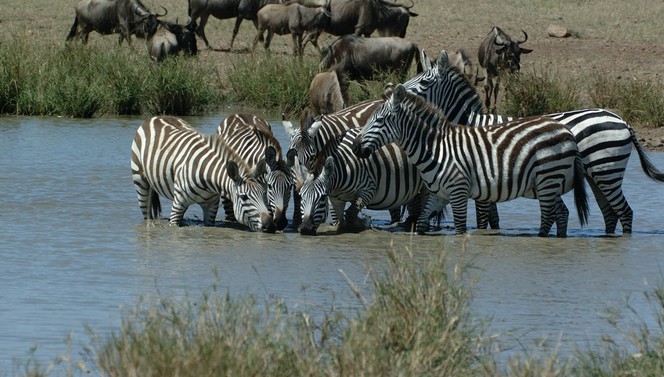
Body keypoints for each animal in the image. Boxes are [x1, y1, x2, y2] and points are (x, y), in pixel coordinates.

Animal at [131, 115, 276, 232]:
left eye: (263, 193)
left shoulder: (211, 206)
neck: (207, 180)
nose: (270, 226)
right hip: (141, 182)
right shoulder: (178, 204)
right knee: (146, 212)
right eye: (244, 197)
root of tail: (155, 117)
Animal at [358, 85, 592, 236]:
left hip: (547, 178)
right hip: (549, 182)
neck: (436, 149)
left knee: (548, 216)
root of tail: (567, 131)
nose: (357, 147)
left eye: (380, 120)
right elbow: (422, 223)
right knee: (562, 213)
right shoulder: (439, 194)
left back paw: (542, 239)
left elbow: (461, 228)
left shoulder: (459, 191)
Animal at [400, 48, 664, 234]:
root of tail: (621, 120)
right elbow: (493, 220)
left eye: (423, 82)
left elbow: (483, 221)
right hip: (599, 176)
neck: (472, 123)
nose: (396, 90)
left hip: (606, 172)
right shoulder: (488, 181)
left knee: (625, 213)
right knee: (611, 214)